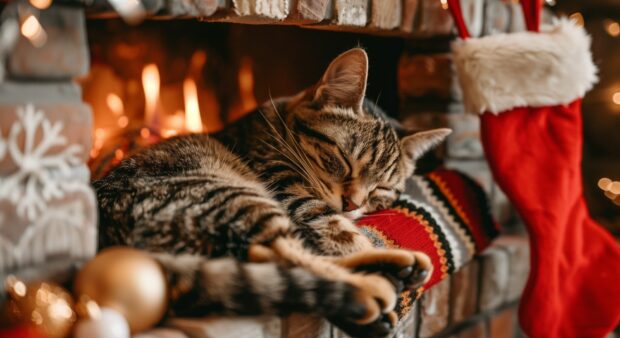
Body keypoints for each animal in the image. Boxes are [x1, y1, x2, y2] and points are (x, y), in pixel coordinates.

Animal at [93, 48, 450, 338]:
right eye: (341, 160)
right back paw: (378, 282)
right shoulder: (293, 191)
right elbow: (342, 233)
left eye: (382, 189)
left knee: (268, 256)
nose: (352, 204)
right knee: (288, 254)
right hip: (233, 195)